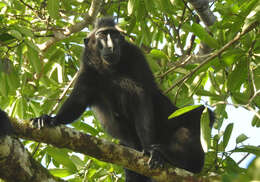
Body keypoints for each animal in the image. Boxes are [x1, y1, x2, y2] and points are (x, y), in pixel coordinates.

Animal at [32, 16, 213, 181]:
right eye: (102, 35)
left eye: (114, 36)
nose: (111, 46)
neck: (109, 69)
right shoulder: (88, 68)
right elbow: (79, 100)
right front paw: (51, 119)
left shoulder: (136, 56)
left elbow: (142, 97)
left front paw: (151, 151)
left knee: (195, 119)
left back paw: (180, 159)